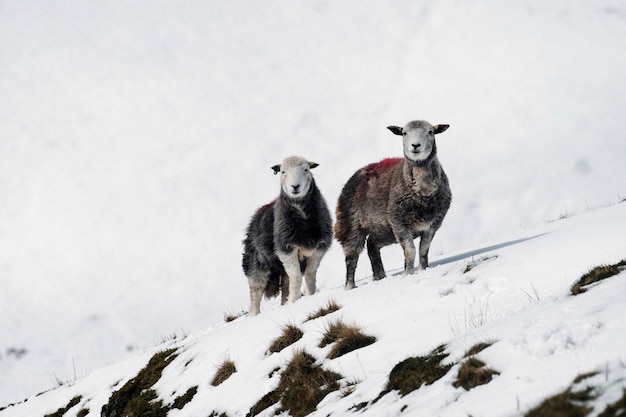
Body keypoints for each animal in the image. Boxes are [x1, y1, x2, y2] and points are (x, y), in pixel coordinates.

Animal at [241, 156, 334, 316]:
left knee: (285, 285)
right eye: (283, 172)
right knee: (255, 293)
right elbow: (296, 278)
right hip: (256, 266)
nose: (295, 186)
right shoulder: (286, 249)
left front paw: (309, 295)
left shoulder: (319, 248)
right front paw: (294, 302)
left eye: (306, 169)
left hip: (281, 271)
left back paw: (286, 303)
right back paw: (255, 314)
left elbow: (310, 275)